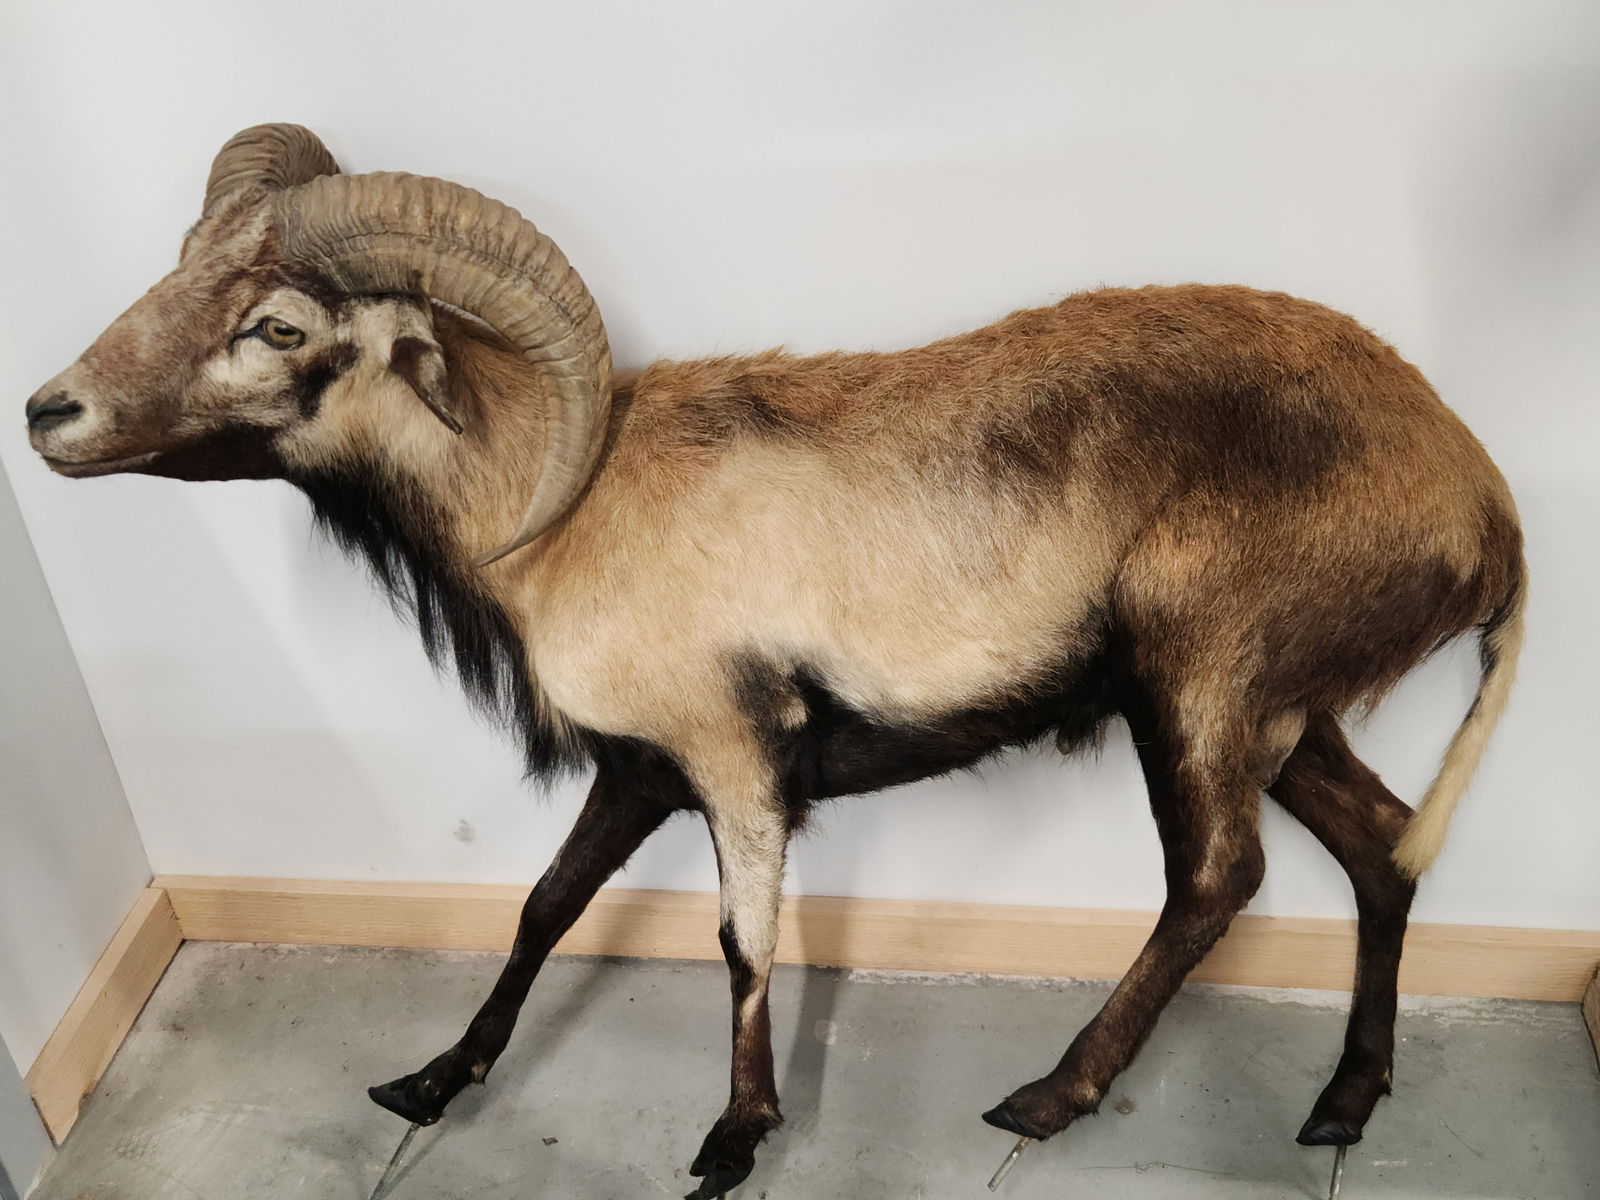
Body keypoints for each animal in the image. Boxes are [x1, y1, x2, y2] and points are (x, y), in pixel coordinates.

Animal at [26, 124, 1523, 1199]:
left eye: (276, 325)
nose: (49, 412)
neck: (565, 510)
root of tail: (1482, 507)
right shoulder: (636, 774)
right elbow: (544, 907)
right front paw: (434, 1079)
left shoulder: (737, 760)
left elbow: (743, 939)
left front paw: (733, 1139)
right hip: (1282, 715)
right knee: (1383, 840)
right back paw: (1342, 1104)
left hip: (1202, 690)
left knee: (1219, 879)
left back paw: (1048, 1099)